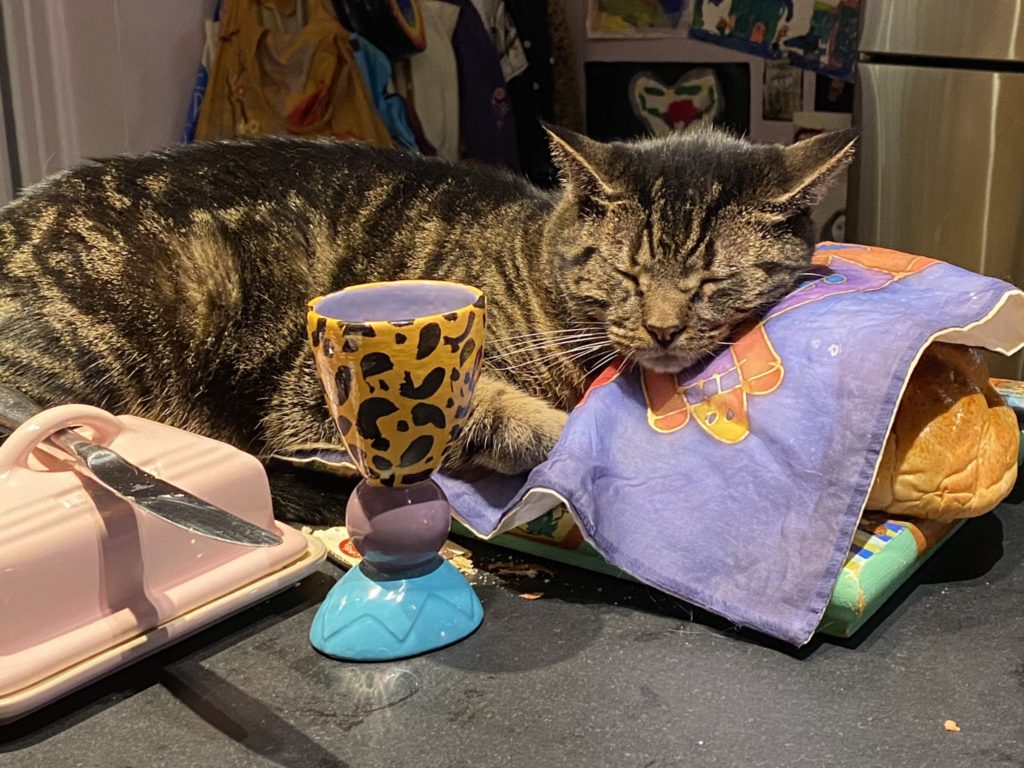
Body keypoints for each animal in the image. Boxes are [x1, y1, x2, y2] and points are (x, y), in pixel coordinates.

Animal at [0, 126, 856, 524]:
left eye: (712, 282)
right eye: (627, 276)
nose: (665, 330)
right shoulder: (312, 391)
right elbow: (491, 410)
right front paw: (561, 434)